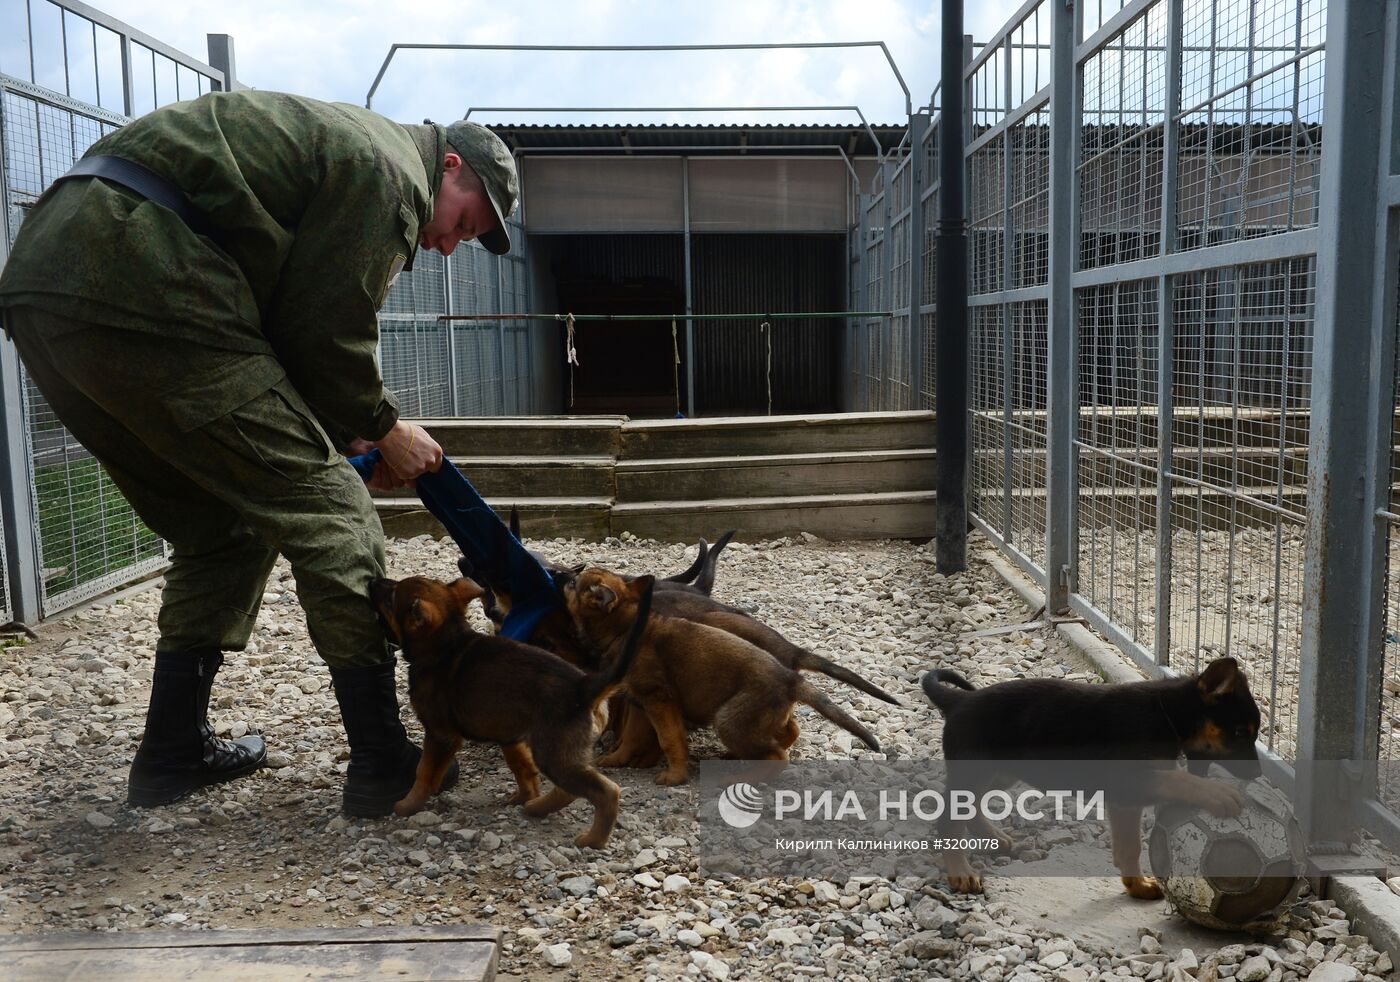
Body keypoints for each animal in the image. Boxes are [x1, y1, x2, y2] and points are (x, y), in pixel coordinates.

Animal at [372, 571, 655, 846]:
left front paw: (407, 805)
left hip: (553, 753)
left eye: (391, 598)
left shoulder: (441, 735)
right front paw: (525, 796)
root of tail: (584, 687)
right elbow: (523, 769)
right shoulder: (509, 737)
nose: (374, 581)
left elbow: (424, 773)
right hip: (562, 753)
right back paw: (537, 807)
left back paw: (593, 839)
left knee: (606, 791)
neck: (446, 643)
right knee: (569, 789)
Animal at [560, 565, 873, 778]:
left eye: (574, 584)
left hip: (729, 720)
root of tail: (791, 678)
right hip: (757, 718)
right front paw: (616, 760)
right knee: (788, 732)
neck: (625, 627)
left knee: (777, 755)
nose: (565, 576)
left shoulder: (659, 700)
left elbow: (669, 739)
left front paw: (674, 776)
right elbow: (631, 737)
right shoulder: (639, 702)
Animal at [924, 658, 1265, 896]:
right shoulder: (1128, 783)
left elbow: (1129, 847)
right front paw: (1217, 793)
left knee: (970, 805)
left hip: (1000, 771)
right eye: (1240, 732)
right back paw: (960, 871)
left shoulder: (1126, 801)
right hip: (976, 769)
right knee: (949, 818)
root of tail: (959, 702)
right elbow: (1177, 781)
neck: (1166, 713)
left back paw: (992, 836)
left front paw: (1136, 886)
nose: (1259, 774)